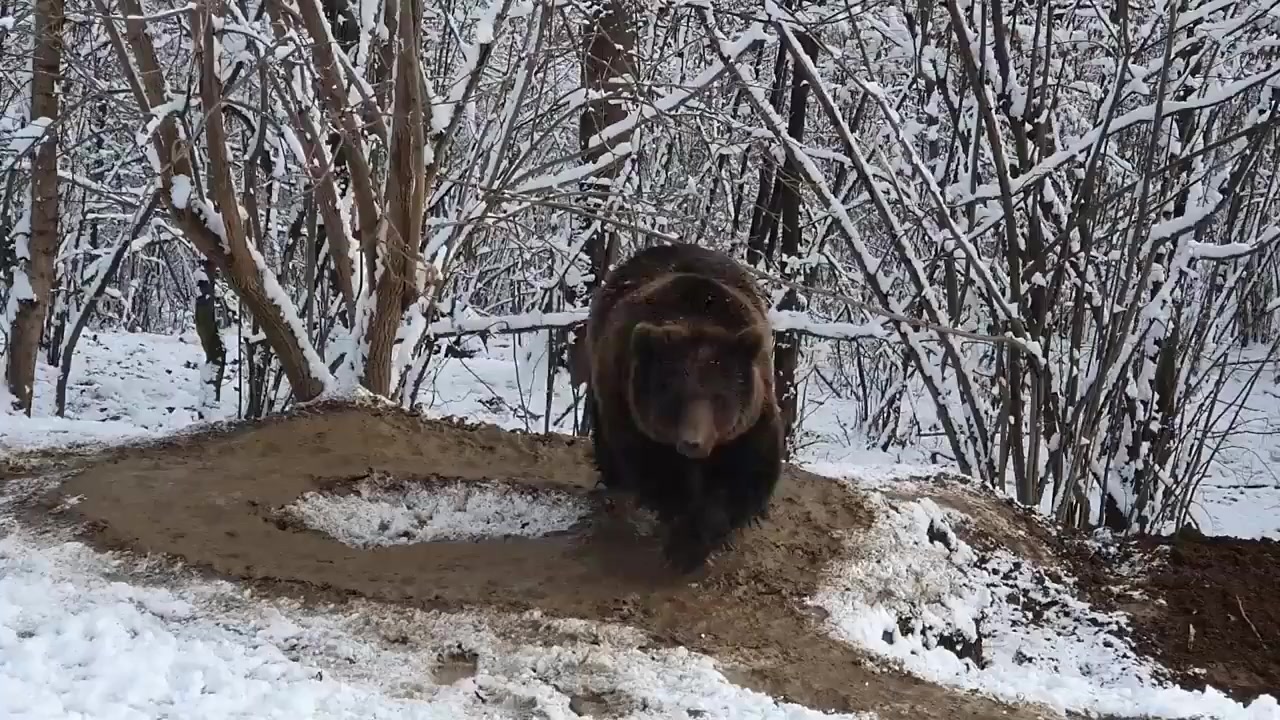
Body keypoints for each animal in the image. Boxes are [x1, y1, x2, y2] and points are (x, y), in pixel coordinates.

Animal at [586, 240, 783, 571]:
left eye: (720, 397)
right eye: (674, 395)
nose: (693, 442)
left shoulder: (752, 418)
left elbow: (745, 475)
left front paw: (696, 540)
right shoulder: (631, 409)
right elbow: (658, 472)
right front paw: (682, 540)